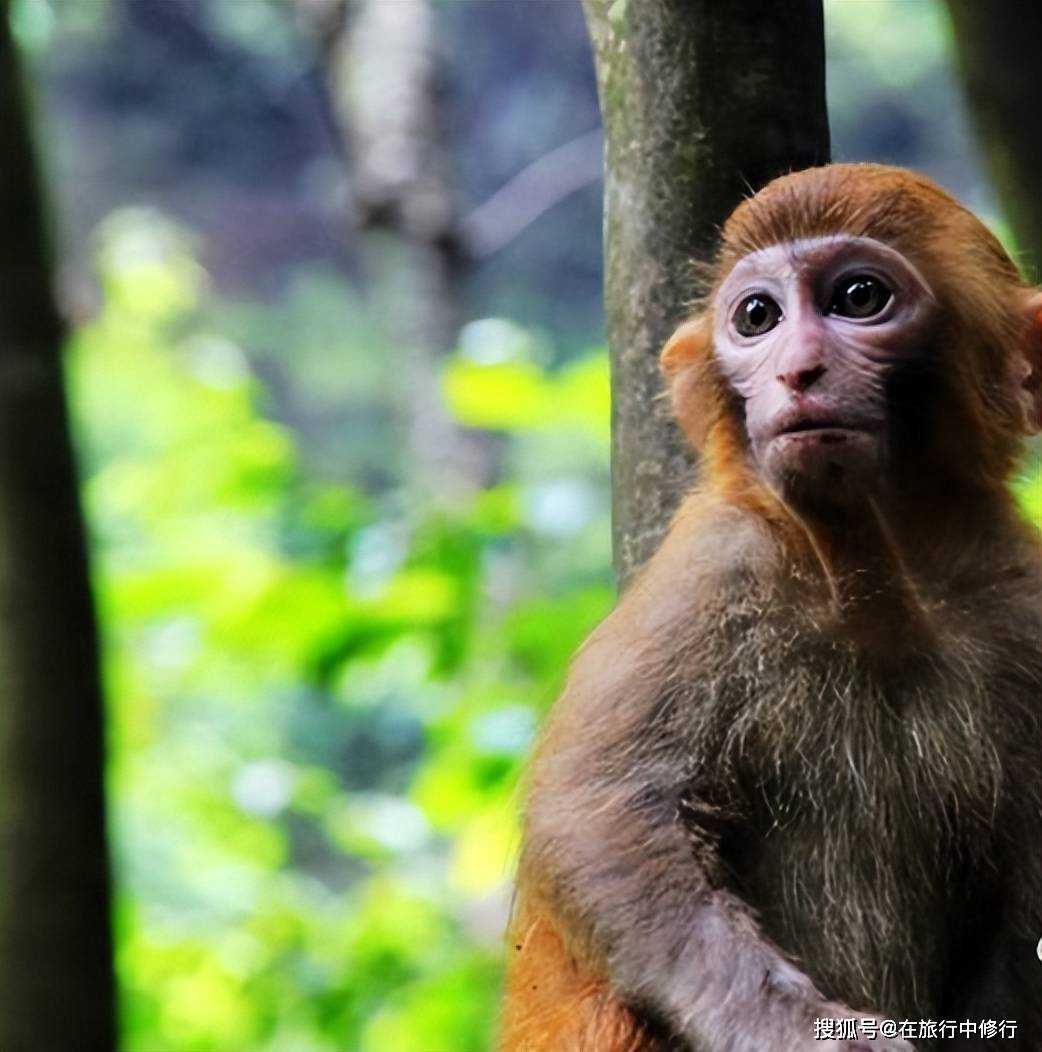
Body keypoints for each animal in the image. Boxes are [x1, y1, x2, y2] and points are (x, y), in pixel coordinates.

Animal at [498, 166, 1042, 1052]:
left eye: (859, 297)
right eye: (758, 317)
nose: (798, 371)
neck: (878, 586)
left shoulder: (1023, 609)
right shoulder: (714, 570)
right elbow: (598, 818)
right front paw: (793, 1028)